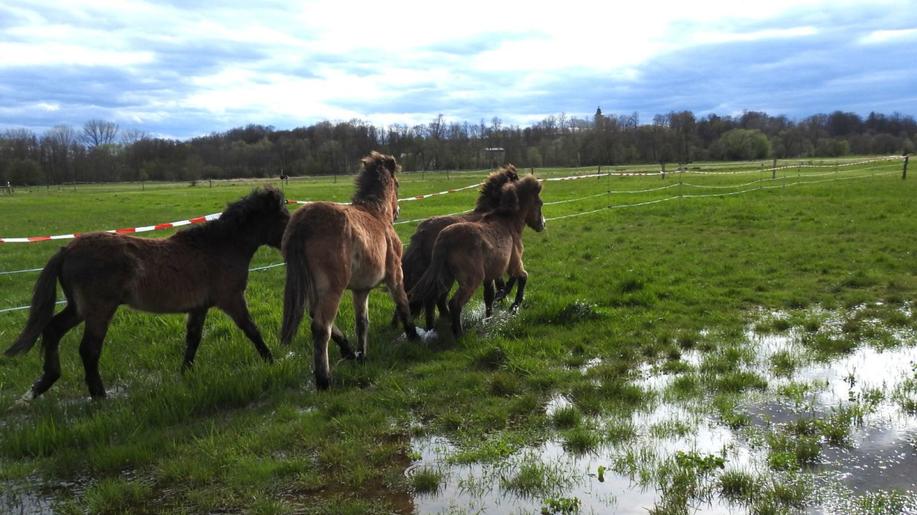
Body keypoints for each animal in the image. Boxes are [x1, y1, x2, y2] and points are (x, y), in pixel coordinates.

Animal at [3, 187, 290, 402]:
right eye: (283, 217)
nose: (291, 242)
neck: (219, 247)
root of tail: (67, 249)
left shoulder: (199, 307)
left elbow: (193, 340)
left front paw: (184, 375)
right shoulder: (231, 300)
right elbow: (252, 330)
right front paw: (272, 361)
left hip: (78, 308)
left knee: (53, 330)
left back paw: (42, 384)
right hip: (98, 311)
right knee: (88, 349)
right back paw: (99, 396)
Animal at [278, 152, 416, 392]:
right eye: (397, 184)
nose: (397, 212)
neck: (376, 214)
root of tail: (303, 222)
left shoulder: (360, 290)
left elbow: (362, 322)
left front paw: (362, 354)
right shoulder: (395, 275)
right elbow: (403, 304)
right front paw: (414, 336)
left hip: (313, 288)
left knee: (316, 316)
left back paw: (349, 350)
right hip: (332, 288)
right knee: (321, 327)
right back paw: (324, 380)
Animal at [408, 175, 544, 336]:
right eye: (540, 203)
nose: (542, 224)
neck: (508, 222)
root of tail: (443, 238)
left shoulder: (493, 273)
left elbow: (491, 295)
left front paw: (490, 316)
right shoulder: (514, 263)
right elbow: (522, 277)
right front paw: (514, 306)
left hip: (446, 277)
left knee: (434, 299)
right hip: (471, 279)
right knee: (454, 303)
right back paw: (459, 334)